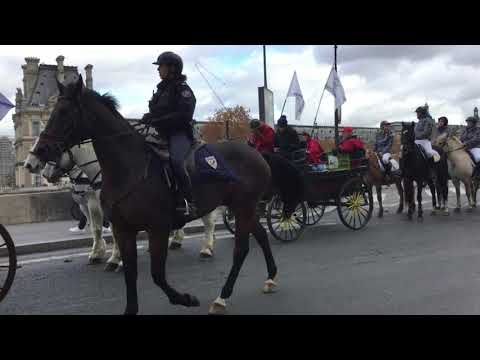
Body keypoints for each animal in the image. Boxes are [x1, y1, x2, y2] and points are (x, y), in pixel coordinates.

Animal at [30, 76, 302, 316]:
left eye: (64, 112)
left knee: (240, 248)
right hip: (241, 207)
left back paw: (221, 295)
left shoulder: (157, 227)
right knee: (261, 236)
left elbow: (157, 275)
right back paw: (270, 277)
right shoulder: (122, 227)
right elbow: (130, 271)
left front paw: (185, 298)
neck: (129, 168)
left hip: (243, 207)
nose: (38, 154)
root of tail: (257, 153)